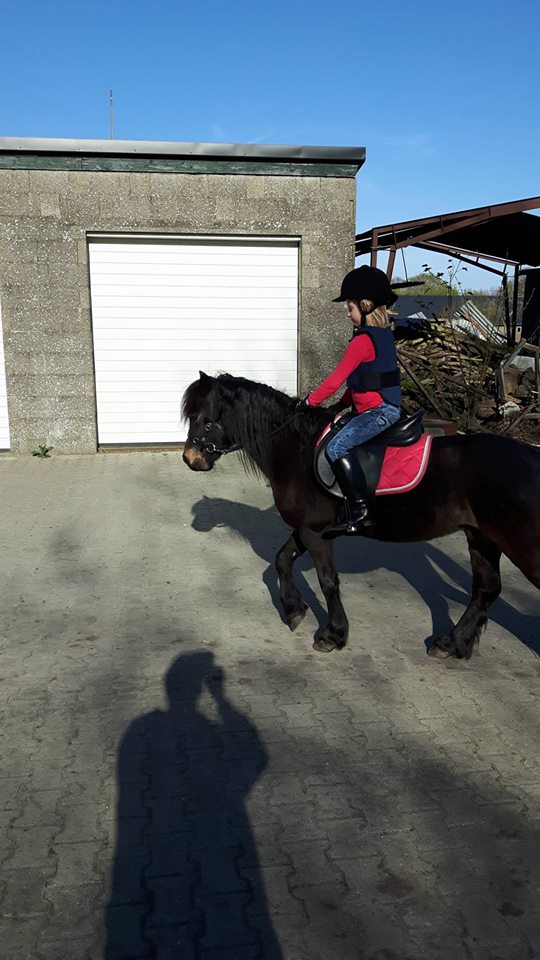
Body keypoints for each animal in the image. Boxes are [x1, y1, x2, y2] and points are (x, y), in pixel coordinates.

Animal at [182, 371, 540, 658]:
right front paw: (294, 610)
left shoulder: (316, 534)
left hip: (521, 549)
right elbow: (282, 560)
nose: (190, 458)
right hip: (482, 538)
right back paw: (452, 643)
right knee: (486, 589)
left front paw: (332, 635)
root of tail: (530, 458)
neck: (296, 447)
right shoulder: (308, 530)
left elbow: (328, 581)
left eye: (204, 417)